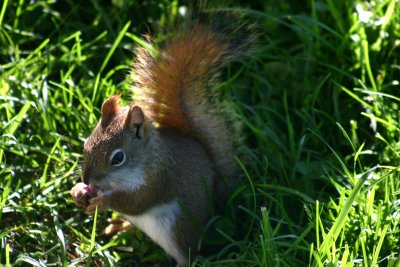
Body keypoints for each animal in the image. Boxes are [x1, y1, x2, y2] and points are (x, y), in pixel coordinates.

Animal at [70, 13, 252, 266]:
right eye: (86, 145)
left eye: (118, 158)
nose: (86, 178)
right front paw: (77, 191)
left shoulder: (158, 178)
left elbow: (136, 202)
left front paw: (103, 202)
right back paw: (120, 226)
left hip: (177, 225)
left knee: (187, 255)